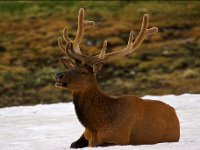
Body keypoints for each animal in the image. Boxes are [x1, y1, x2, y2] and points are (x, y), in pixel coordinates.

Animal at [54, 8, 180, 148]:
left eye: (83, 72)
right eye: (71, 67)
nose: (58, 75)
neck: (97, 127)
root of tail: (175, 114)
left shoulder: (121, 138)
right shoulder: (87, 136)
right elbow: (73, 144)